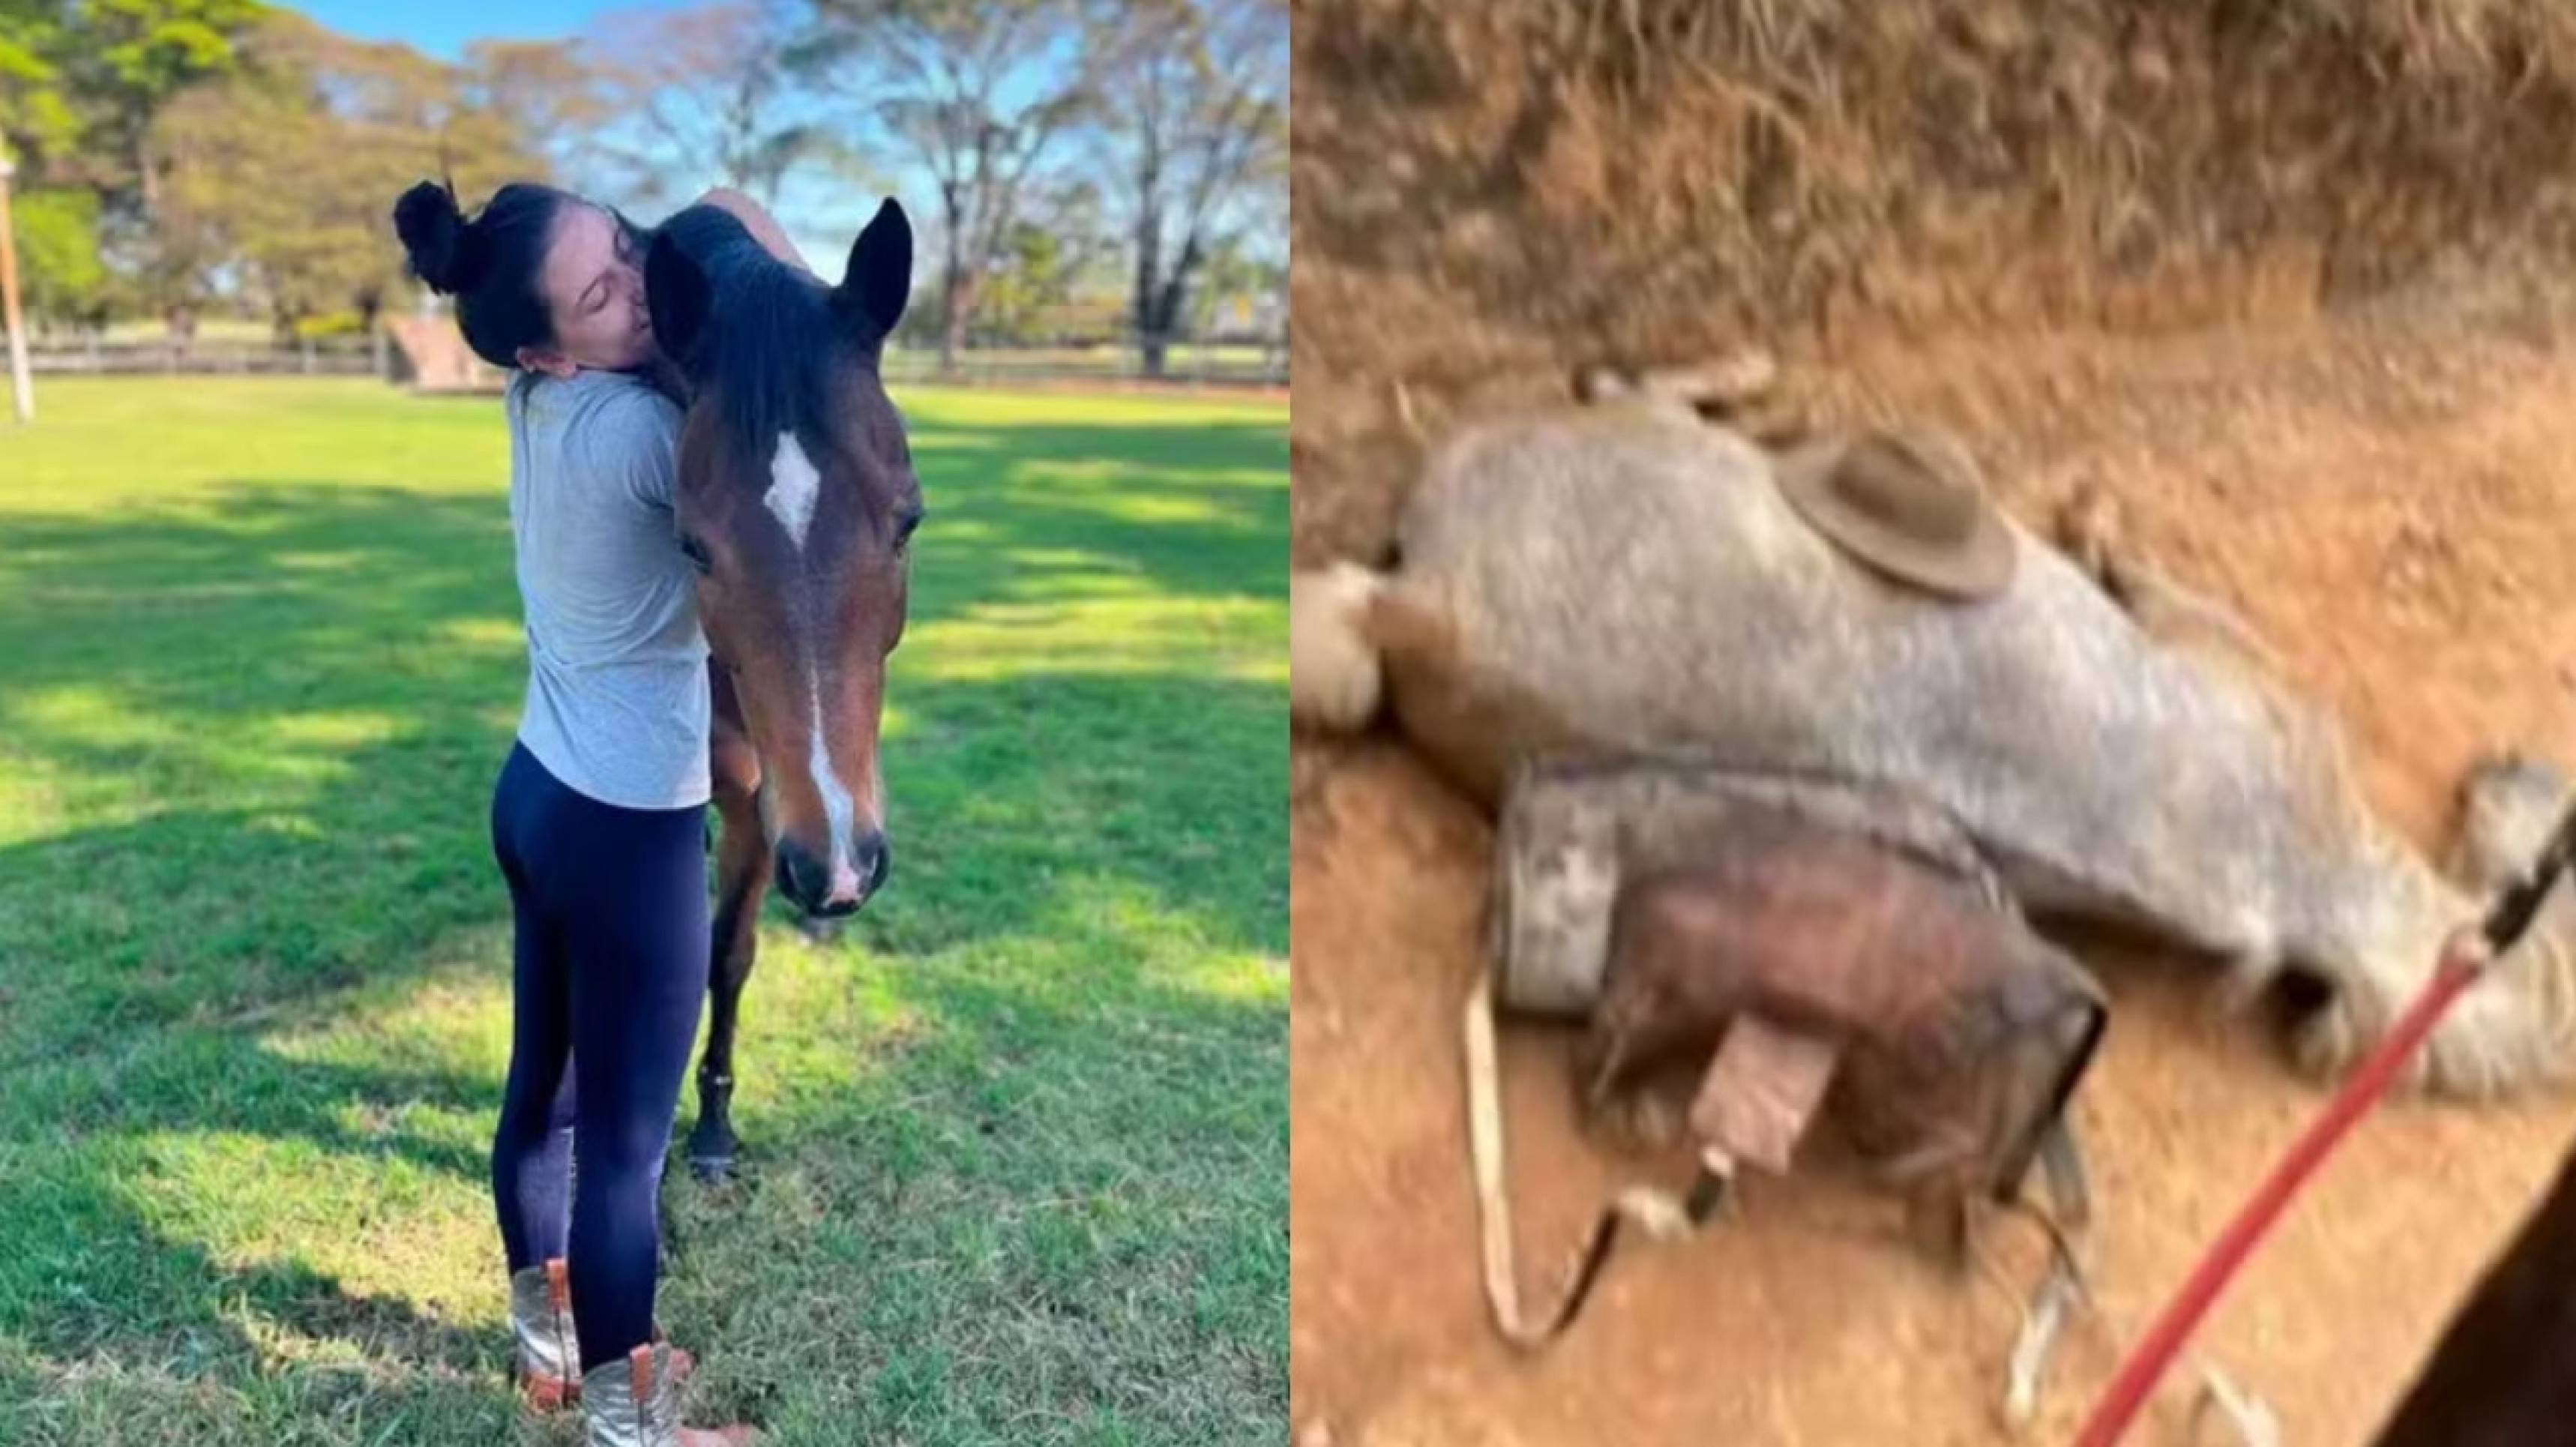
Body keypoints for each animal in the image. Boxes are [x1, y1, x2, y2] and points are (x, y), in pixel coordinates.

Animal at [641, 197, 923, 1182]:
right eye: (691, 546)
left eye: (909, 521)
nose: (840, 864)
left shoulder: (768, 796)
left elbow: (728, 954)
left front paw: (715, 1123)